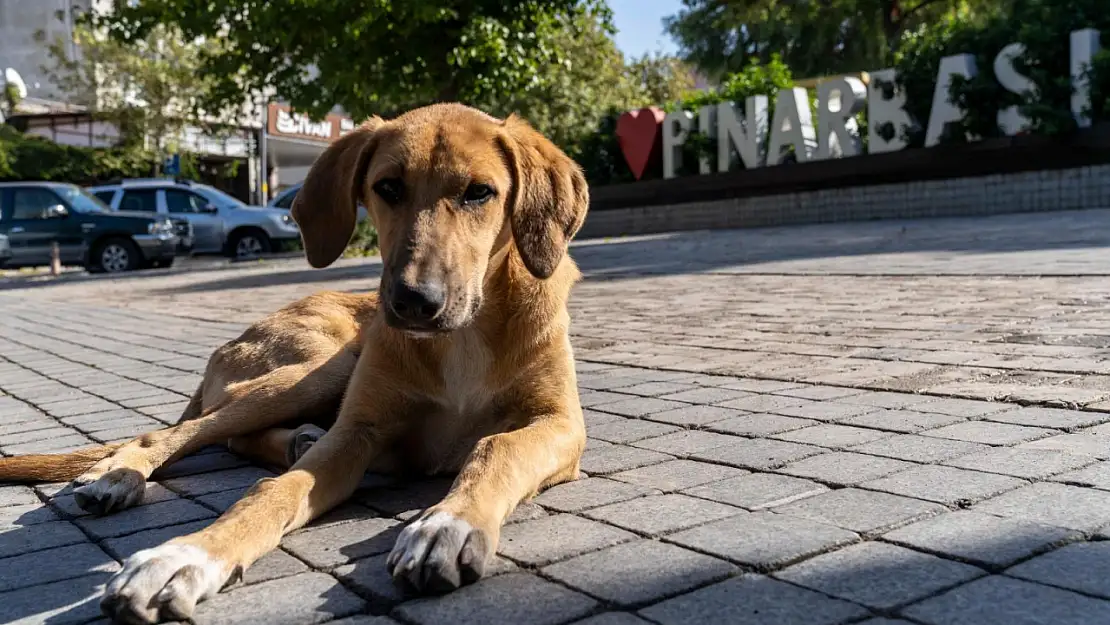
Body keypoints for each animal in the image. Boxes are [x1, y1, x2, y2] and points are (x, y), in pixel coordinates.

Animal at [0, 104, 590, 621]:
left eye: (479, 193)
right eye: (388, 187)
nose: (412, 302)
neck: (464, 336)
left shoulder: (561, 424)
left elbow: (497, 449)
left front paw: (449, 522)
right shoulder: (355, 431)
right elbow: (270, 492)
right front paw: (183, 556)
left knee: (234, 439)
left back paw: (296, 440)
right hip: (320, 369)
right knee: (183, 433)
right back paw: (118, 474)